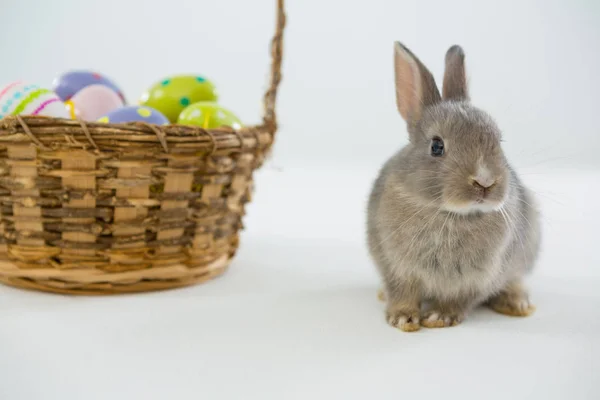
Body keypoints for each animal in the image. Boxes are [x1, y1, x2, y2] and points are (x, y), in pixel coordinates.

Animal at [368, 42, 540, 332]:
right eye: (437, 146)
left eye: (498, 141)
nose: (485, 182)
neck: (448, 214)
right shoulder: (395, 266)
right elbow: (402, 293)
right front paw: (403, 319)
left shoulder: (479, 278)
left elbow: (459, 300)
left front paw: (439, 317)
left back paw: (517, 304)